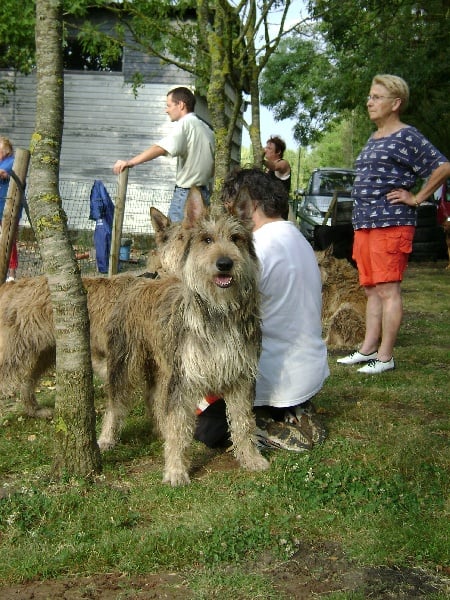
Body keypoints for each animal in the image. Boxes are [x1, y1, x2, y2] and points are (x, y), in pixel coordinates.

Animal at [96, 190, 268, 486]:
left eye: (236, 238)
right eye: (206, 239)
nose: (225, 263)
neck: (218, 311)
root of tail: (140, 279)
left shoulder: (240, 379)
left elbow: (244, 422)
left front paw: (250, 458)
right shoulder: (184, 381)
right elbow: (178, 426)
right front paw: (176, 469)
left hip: (162, 368)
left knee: (154, 399)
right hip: (124, 363)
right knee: (115, 404)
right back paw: (107, 438)